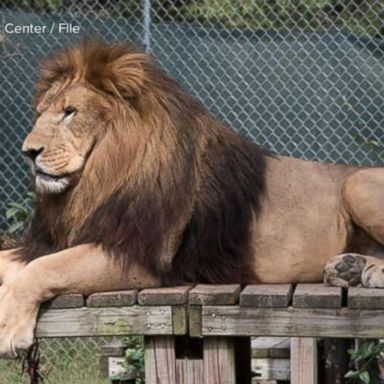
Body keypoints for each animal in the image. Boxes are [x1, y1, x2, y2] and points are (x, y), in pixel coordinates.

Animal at [0, 39, 384, 356]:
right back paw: (350, 268)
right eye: (40, 113)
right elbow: (19, 261)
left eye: (70, 112)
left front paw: (9, 330)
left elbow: (43, 268)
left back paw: (368, 272)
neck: (98, 179)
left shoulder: (138, 257)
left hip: (358, 183)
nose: (28, 152)